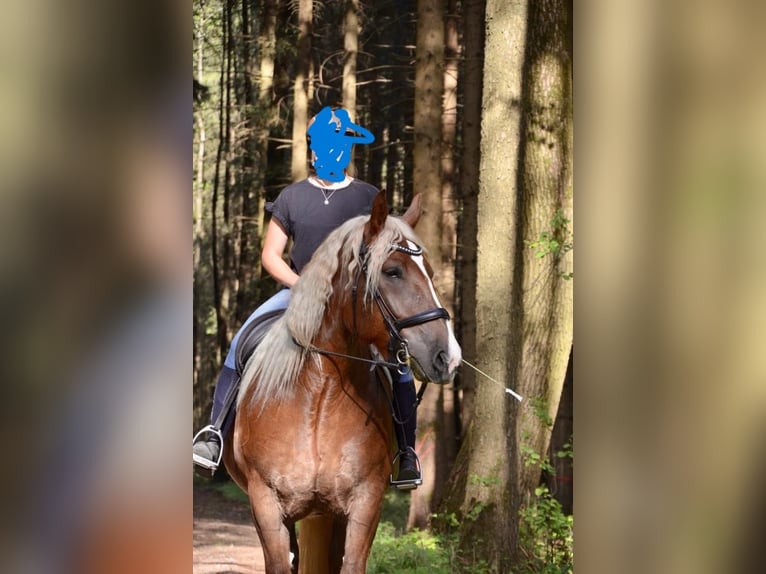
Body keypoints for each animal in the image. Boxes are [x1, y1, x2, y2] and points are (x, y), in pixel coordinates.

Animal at [222, 194, 462, 574]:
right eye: (392, 272)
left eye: (431, 272)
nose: (447, 356)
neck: (320, 395)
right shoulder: (266, 504)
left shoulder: (365, 502)